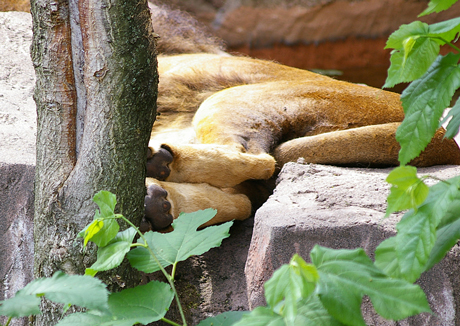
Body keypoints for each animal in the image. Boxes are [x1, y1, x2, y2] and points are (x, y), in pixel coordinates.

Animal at [143, 3, 460, 232]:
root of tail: (443, 135)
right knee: (240, 200)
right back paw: (156, 204)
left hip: (231, 100)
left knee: (255, 165)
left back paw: (157, 166)